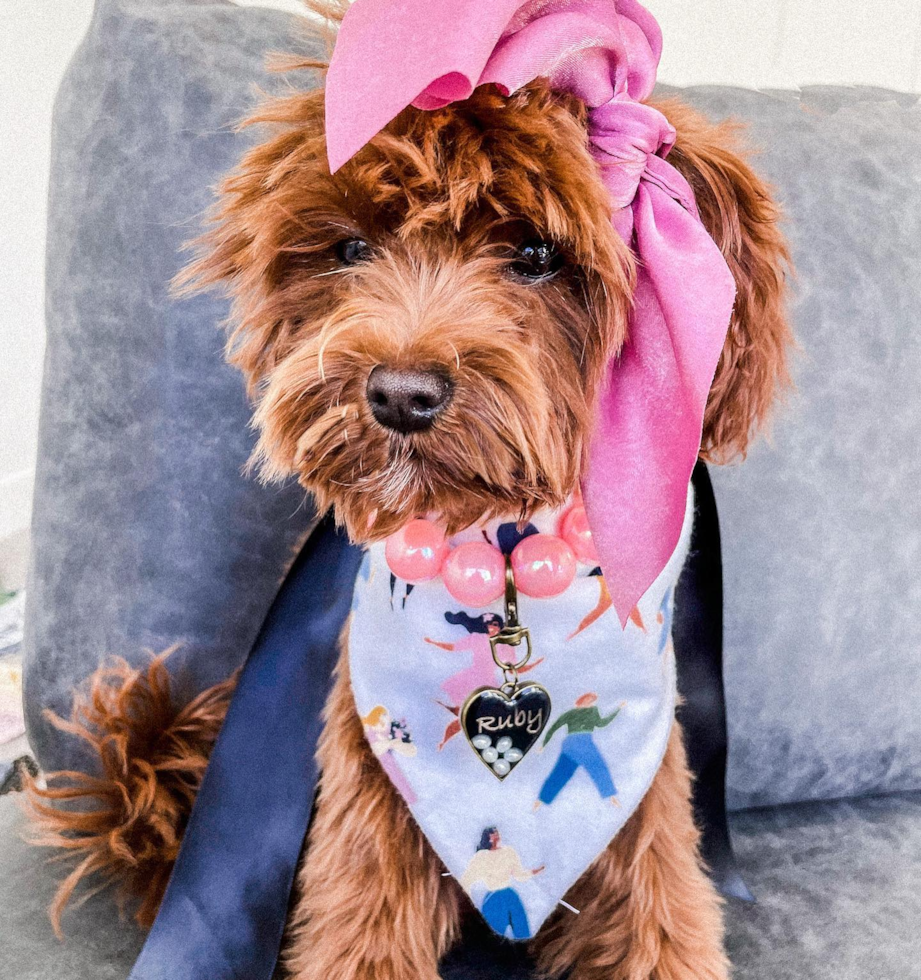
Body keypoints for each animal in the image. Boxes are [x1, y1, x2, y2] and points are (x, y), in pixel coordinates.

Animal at [28, 3, 792, 976]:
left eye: (536, 253)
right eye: (351, 247)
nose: (399, 393)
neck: (501, 564)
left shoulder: (646, 830)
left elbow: (662, 934)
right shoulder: (363, 835)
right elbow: (358, 937)